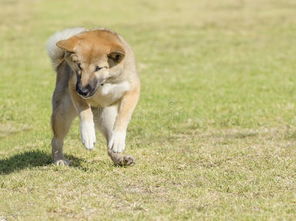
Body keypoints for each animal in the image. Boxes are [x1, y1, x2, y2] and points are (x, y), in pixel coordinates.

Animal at [46, 27, 140, 166]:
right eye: (79, 65)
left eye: (98, 68)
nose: (82, 91)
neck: (105, 82)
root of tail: (61, 62)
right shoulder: (73, 87)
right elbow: (85, 112)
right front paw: (88, 134)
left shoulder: (132, 91)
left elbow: (123, 116)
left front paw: (118, 140)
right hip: (62, 114)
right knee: (56, 140)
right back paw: (59, 159)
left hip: (106, 117)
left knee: (110, 145)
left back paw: (120, 158)